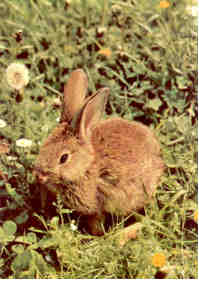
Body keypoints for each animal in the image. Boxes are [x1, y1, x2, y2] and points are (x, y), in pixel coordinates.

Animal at [34, 68, 165, 234]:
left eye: (63, 158)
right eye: (43, 148)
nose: (39, 175)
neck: (85, 166)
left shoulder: (97, 206)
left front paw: (97, 235)